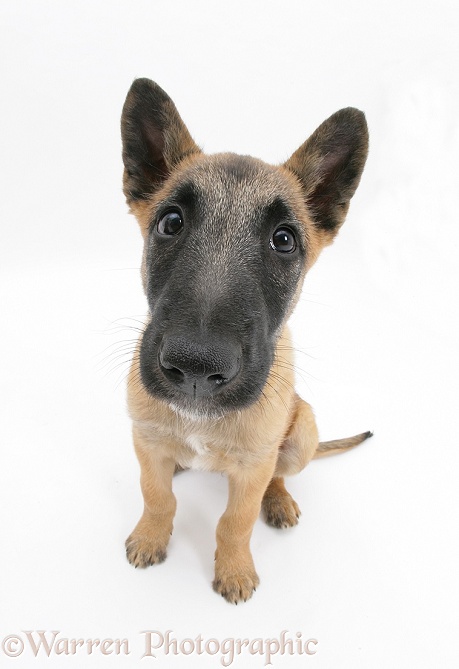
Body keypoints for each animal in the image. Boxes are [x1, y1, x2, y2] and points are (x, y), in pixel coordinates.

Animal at [120, 75, 372, 604]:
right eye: (171, 222)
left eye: (284, 240)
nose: (195, 367)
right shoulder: (145, 441)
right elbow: (157, 496)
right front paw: (151, 536)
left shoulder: (254, 465)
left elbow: (236, 521)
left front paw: (234, 569)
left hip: (303, 430)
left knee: (277, 475)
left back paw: (278, 501)